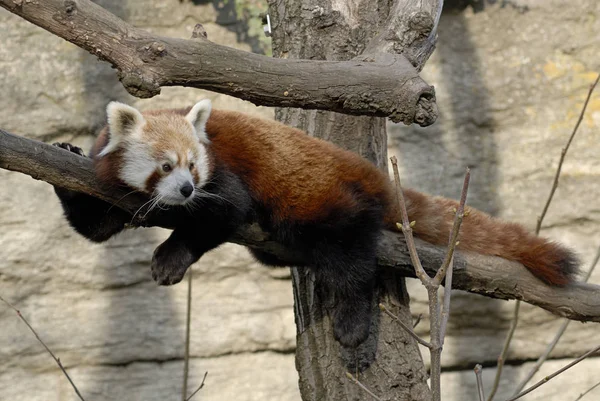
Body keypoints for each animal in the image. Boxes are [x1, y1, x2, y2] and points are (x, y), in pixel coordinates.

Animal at [54, 99, 580, 346]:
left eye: (193, 167)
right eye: (165, 166)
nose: (185, 190)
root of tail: (369, 170)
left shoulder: (224, 177)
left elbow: (223, 214)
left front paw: (171, 256)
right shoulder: (114, 191)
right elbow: (95, 226)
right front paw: (64, 154)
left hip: (319, 197)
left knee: (348, 256)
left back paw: (351, 320)